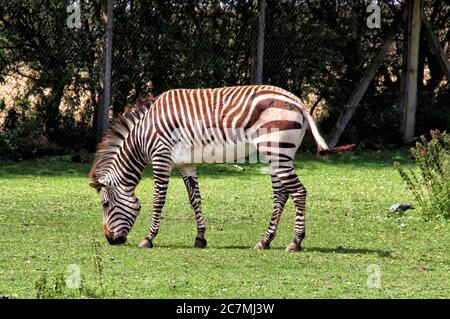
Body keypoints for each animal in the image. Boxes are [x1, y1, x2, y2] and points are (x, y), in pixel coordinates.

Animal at [89, 85, 354, 252]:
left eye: (105, 204)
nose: (110, 240)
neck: (143, 135)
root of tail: (298, 101)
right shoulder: (186, 163)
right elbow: (195, 199)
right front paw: (200, 238)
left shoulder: (161, 158)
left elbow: (158, 200)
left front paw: (148, 238)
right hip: (276, 155)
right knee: (281, 194)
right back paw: (265, 241)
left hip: (278, 151)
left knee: (298, 192)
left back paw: (296, 242)